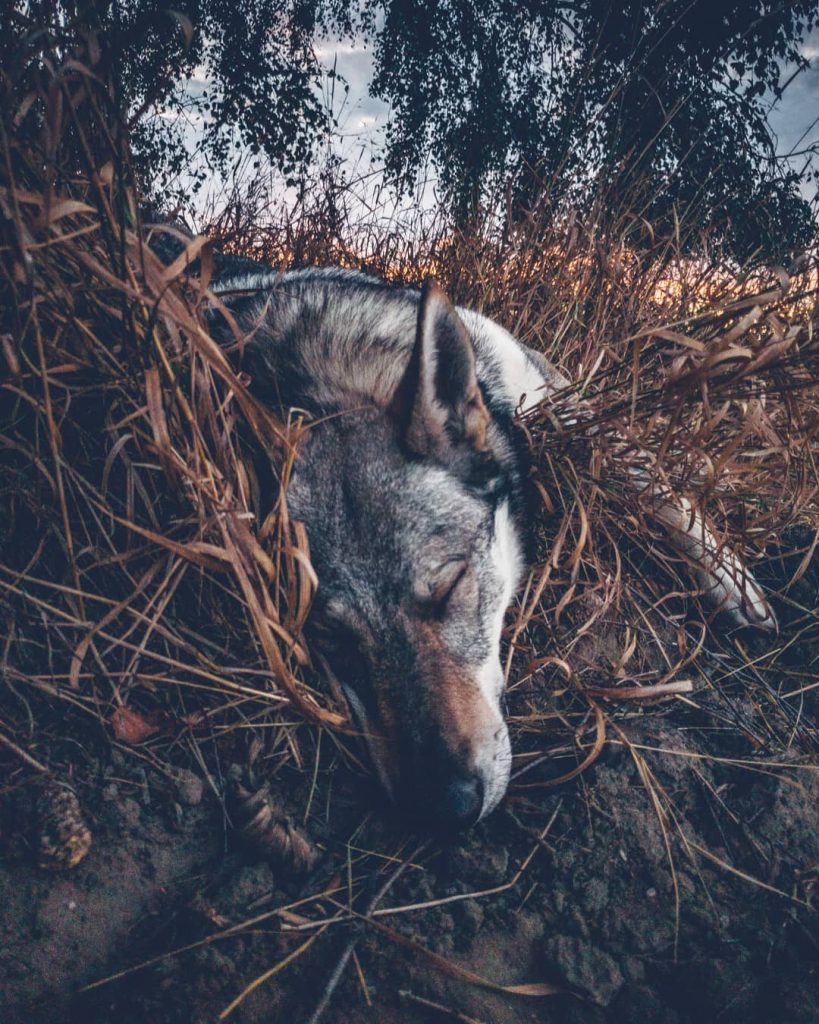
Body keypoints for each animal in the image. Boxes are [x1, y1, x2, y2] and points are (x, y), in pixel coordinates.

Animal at [208, 265, 775, 829]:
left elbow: (647, 475)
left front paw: (732, 582)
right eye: (329, 634)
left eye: (450, 588)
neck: (330, 376)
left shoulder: (555, 394)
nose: (443, 808)